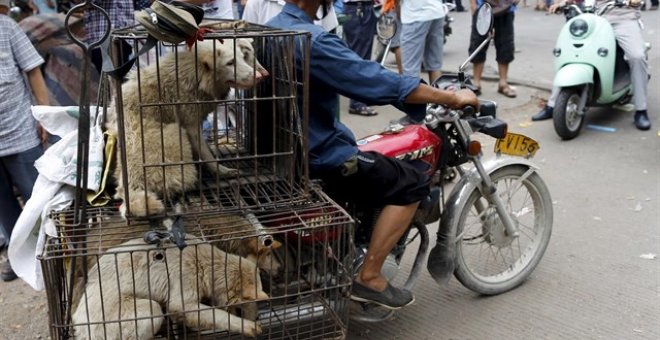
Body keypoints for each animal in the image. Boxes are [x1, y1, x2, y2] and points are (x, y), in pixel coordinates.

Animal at [72, 236, 268, 340]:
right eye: (245, 306)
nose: (256, 318)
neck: (208, 264)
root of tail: (80, 328)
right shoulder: (182, 299)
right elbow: (218, 315)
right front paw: (246, 326)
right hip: (149, 310)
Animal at [107, 37, 266, 218]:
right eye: (230, 62)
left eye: (242, 57)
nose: (260, 76)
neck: (197, 74)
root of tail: (130, 188)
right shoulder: (191, 126)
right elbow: (208, 156)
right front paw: (221, 171)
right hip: (175, 134)